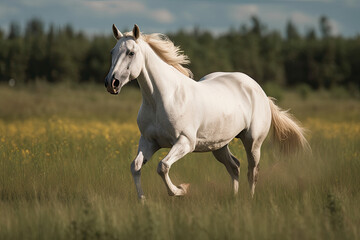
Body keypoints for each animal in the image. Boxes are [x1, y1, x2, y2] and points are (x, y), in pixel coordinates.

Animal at [105, 24, 310, 201]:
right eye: (112, 52)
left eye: (131, 52)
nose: (111, 83)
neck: (162, 99)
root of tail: (260, 92)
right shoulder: (149, 141)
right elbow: (135, 166)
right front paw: (142, 200)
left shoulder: (185, 142)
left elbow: (162, 167)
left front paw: (182, 189)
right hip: (218, 145)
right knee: (234, 167)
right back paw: (233, 198)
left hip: (253, 142)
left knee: (252, 172)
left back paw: (249, 200)